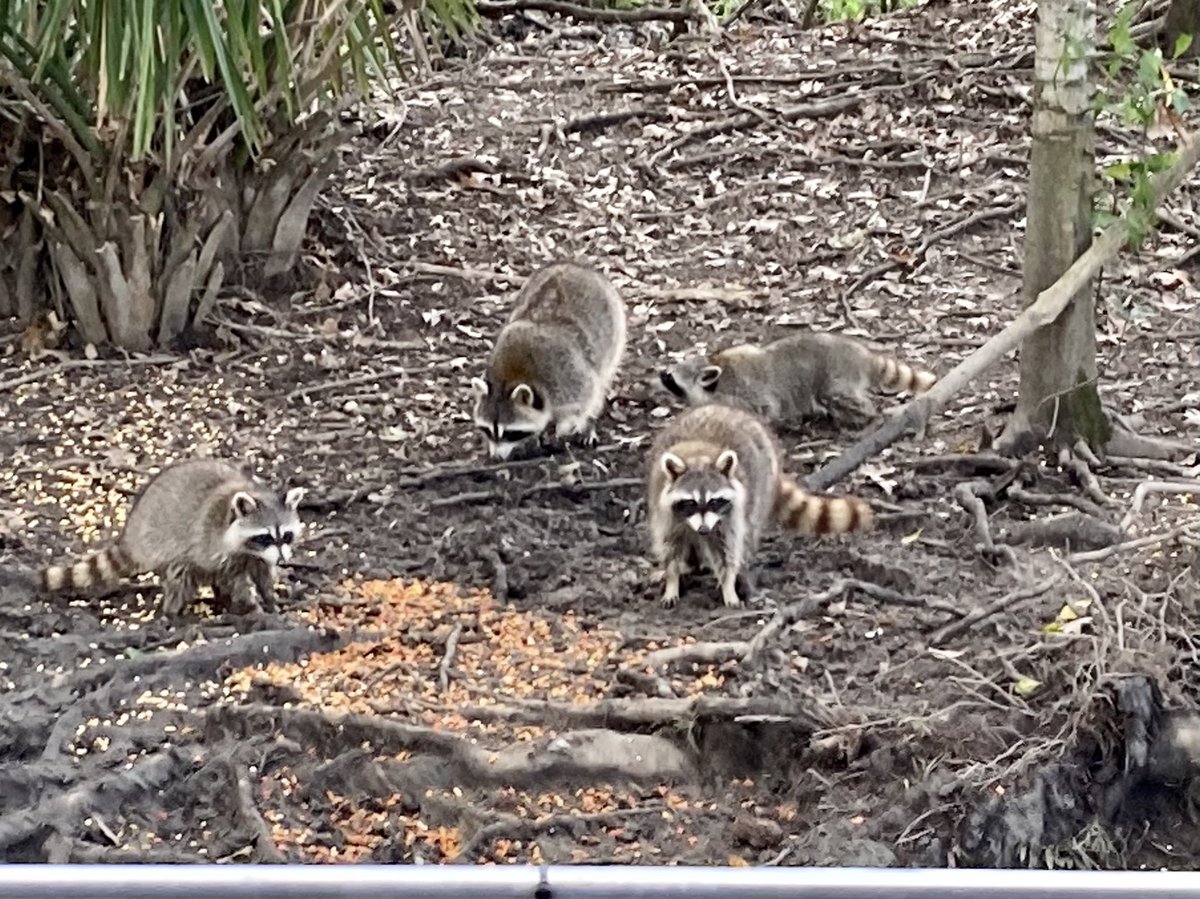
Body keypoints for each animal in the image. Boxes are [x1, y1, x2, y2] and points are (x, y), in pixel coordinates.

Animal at [38, 459, 305, 618]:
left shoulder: (256, 557)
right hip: (164, 547)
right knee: (180, 576)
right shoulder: (216, 546)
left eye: (287, 535)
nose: (282, 560)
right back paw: (174, 613)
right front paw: (252, 606)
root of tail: (130, 536)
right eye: (264, 537)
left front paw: (269, 599)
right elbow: (234, 579)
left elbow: (261, 575)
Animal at [471, 261, 627, 459]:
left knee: (600, 384)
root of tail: (573, 266)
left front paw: (569, 425)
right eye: (487, 430)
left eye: (510, 433)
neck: (509, 379)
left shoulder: (568, 377)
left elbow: (587, 398)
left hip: (614, 331)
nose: (496, 457)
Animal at [647, 404, 873, 609]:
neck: (698, 458)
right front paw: (672, 578)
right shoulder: (665, 509)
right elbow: (670, 544)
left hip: (760, 490)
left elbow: (728, 547)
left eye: (714, 501)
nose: (703, 529)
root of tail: (729, 409)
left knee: (747, 533)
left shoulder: (730, 513)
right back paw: (690, 564)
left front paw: (728, 581)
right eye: (691, 502)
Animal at [660, 331, 937, 427]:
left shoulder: (743, 394)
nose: (661, 373)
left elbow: (765, 409)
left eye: (671, 378)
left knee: (840, 398)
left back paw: (866, 417)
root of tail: (858, 354)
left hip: (834, 378)